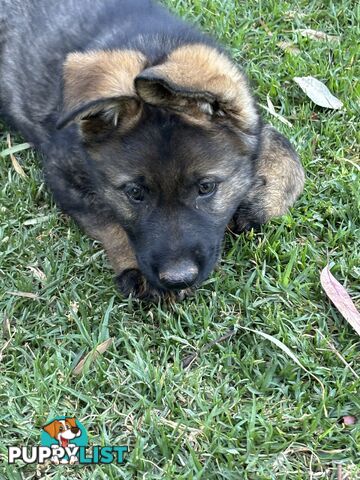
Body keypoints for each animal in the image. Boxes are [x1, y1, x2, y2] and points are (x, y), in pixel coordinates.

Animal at [0, 0, 304, 298]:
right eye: (134, 193)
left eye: (206, 188)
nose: (179, 279)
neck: (153, 45)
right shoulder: (61, 171)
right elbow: (107, 220)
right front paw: (134, 267)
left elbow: (286, 151)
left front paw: (260, 203)